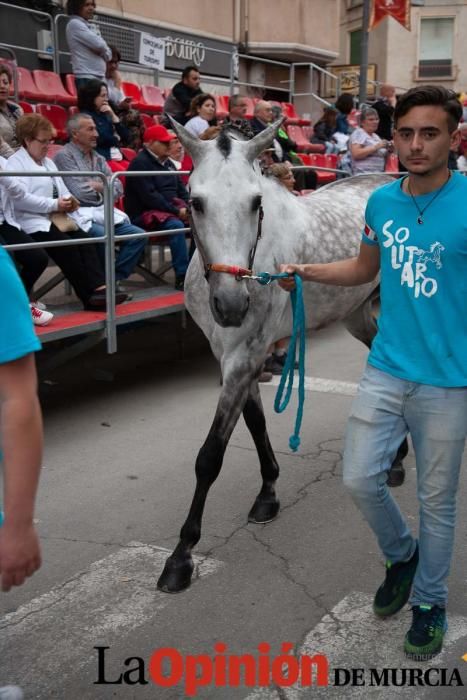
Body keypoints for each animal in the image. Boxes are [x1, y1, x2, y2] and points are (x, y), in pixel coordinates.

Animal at [157, 120, 406, 592]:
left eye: (256, 202)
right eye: (195, 201)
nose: (231, 304)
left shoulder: (245, 356)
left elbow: (209, 457)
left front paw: (181, 556)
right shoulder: (233, 357)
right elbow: (255, 425)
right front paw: (268, 494)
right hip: (357, 314)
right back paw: (397, 458)